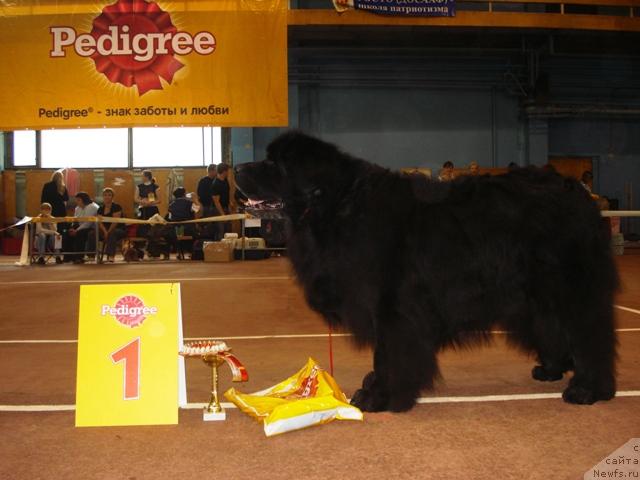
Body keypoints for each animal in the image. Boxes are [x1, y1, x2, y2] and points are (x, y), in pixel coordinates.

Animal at [234, 131, 616, 412]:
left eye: (274, 163)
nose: (236, 169)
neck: (337, 208)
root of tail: (577, 192)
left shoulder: (390, 306)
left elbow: (388, 353)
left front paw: (380, 396)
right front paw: (374, 386)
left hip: (568, 286)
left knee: (589, 333)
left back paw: (587, 389)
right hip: (534, 293)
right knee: (552, 326)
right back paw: (551, 369)